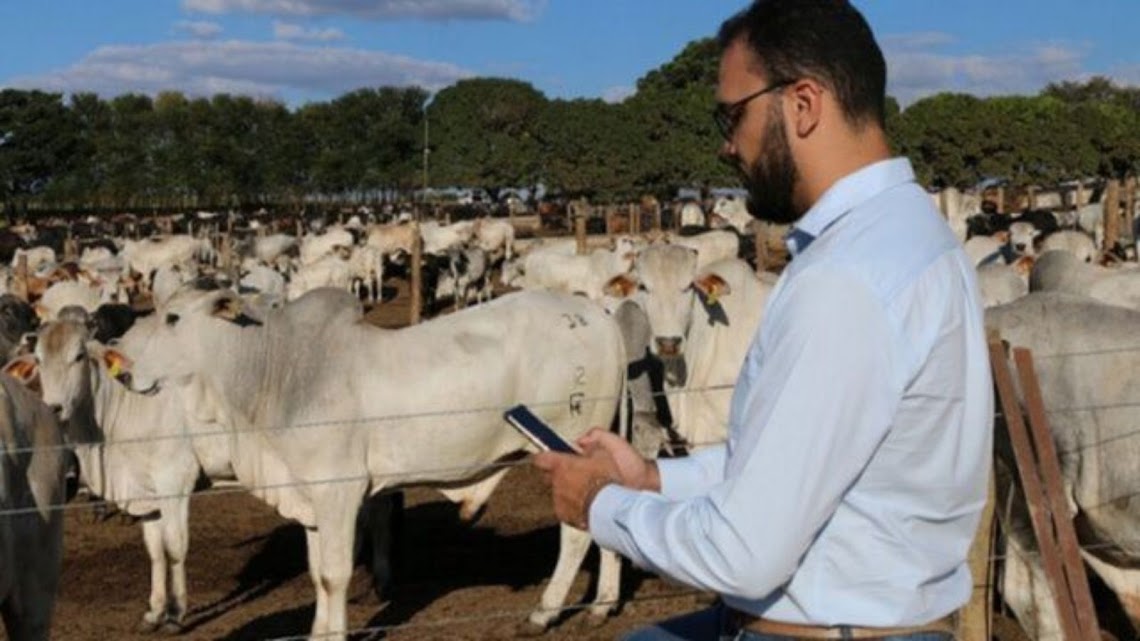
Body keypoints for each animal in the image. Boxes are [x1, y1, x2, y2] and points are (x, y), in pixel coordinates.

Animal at [111, 285, 629, 638]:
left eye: (173, 317)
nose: (119, 365)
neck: (275, 373)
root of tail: (596, 315)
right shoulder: (311, 498)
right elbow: (317, 575)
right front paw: (318, 633)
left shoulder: (339, 491)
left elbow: (334, 574)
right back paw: (601, 604)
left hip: (564, 447)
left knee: (577, 534)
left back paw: (544, 611)